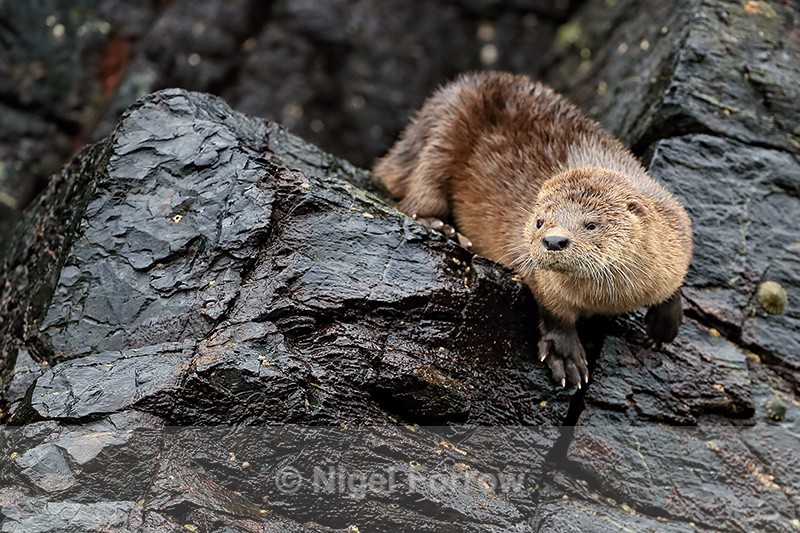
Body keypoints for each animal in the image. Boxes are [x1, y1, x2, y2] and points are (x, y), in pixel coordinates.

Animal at [373, 71, 693, 388]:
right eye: (539, 222)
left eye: (591, 224)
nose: (554, 240)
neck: (610, 300)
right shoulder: (542, 279)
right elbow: (554, 310)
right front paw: (565, 355)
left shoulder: (676, 228)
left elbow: (676, 276)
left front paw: (665, 325)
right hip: (443, 133)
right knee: (416, 193)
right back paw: (444, 228)